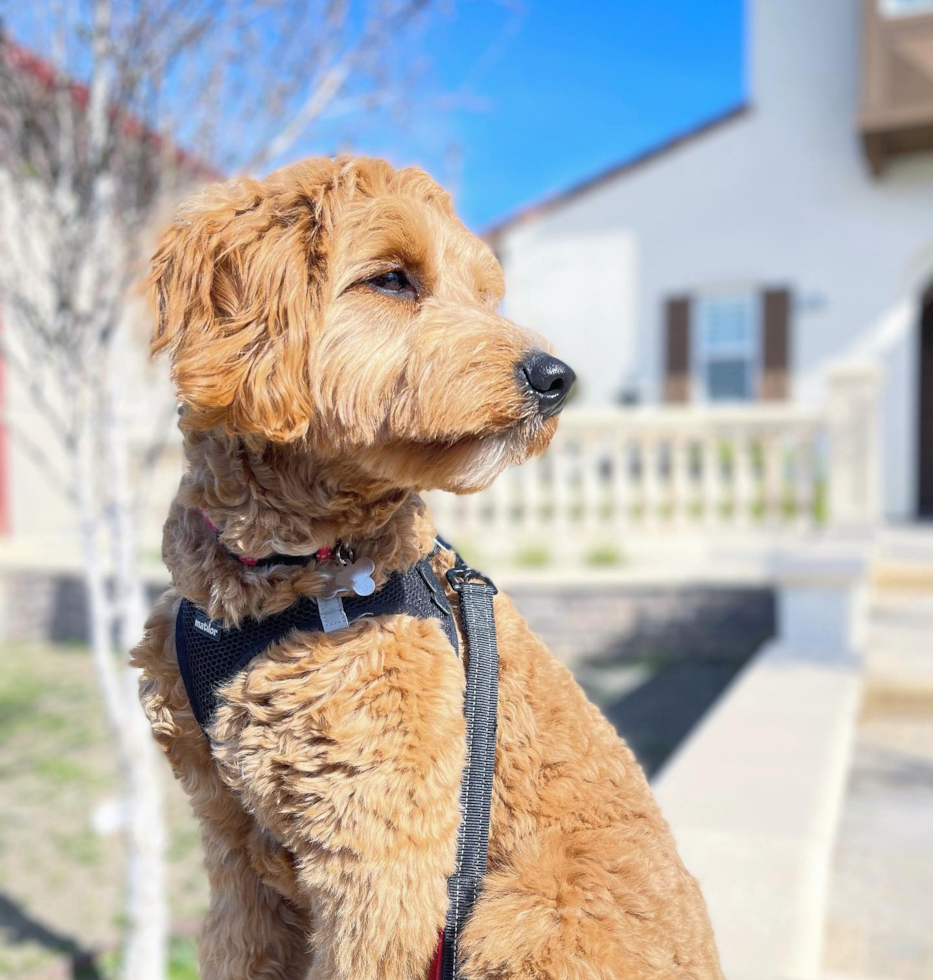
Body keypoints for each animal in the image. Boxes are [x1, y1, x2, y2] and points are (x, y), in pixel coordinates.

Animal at [133, 159, 720, 980]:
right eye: (391, 279)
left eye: (484, 293)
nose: (556, 377)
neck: (283, 583)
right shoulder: (229, 839)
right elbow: (234, 951)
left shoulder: (381, 860)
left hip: (524, 916)